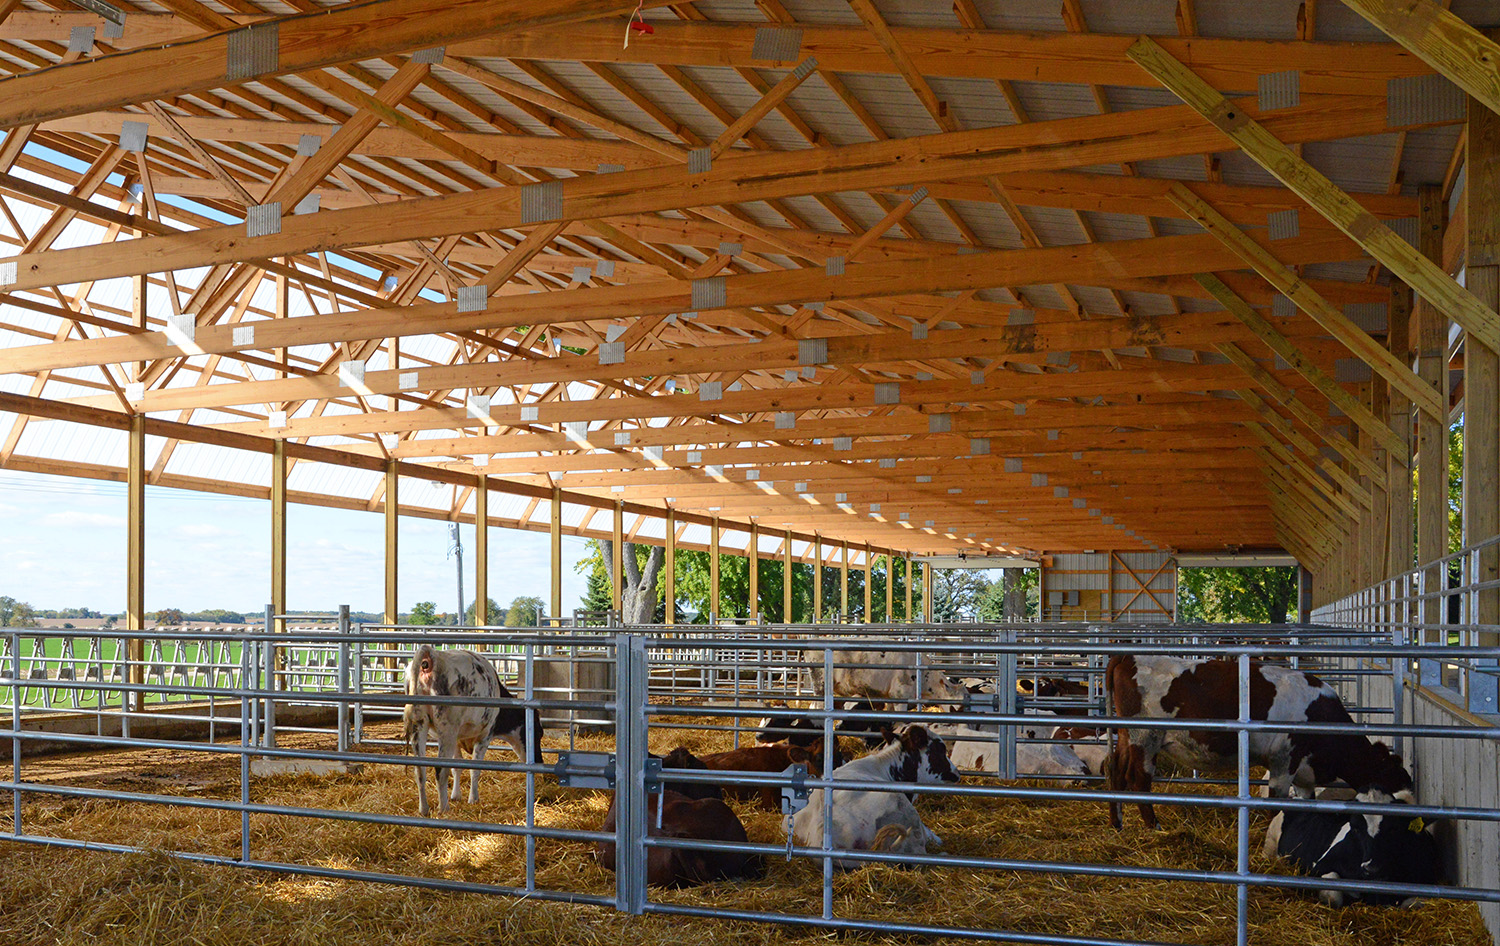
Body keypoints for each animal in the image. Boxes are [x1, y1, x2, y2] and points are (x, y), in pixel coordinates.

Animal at [402, 647, 543, 815]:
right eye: (539, 733)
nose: (540, 761)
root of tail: (431, 656)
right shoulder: (485, 736)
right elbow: (475, 769)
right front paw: (473, 799)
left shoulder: (457, 739)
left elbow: (456, 767)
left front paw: (456, 795)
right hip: (447, 730)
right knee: (440, 770)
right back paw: (444, 808)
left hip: (419, 725)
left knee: (420, 770)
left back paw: (424, 809)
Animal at [1110, 659, 1410, 827]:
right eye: (1390, 776)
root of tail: (1127, 657)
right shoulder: (1283, 761)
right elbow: (1276, 801)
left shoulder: (1304, 773)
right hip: (1146, 737)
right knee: (1138, 779)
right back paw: (1154, 826)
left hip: (1127, 736)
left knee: (1115, 770)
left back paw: (1117, 822)